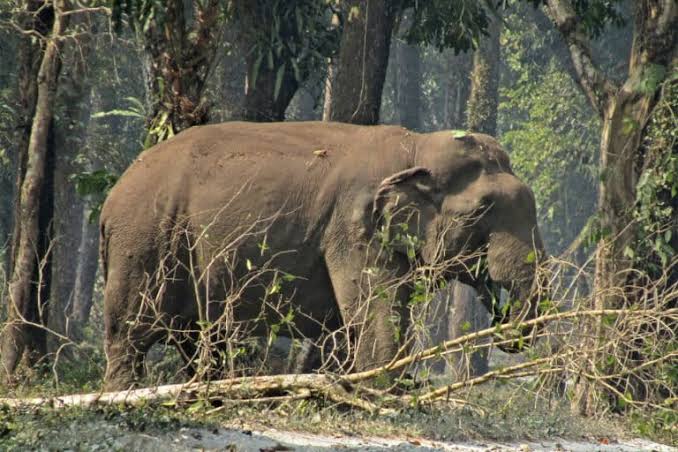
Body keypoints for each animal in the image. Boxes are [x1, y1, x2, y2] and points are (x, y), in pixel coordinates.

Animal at [99, 121, 546, 390]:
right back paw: (124, 394)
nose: (503, 323)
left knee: (199, 340)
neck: (417, 145)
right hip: (143, 244)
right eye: (481, 210)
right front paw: (385, 390)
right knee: (129, 335)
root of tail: (111, 198)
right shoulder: (354, 227)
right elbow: (375, 316)